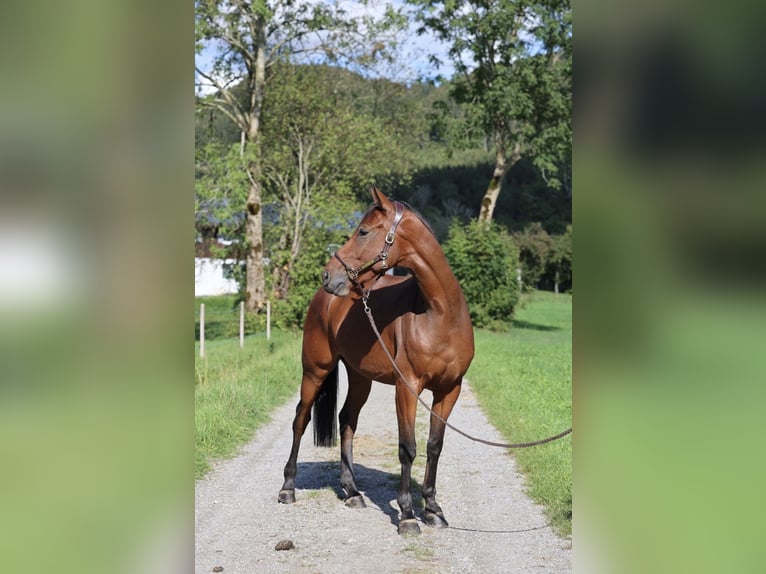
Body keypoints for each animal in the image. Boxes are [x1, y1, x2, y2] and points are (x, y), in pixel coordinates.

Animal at [278, 186, 474, 535]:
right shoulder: (406, 388)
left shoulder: (450, 389)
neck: (440, 316)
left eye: (364, 231)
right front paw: (408, 514)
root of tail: (324, 298)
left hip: (360, 378)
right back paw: (288, 488)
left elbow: (434, 446)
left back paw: (352, 491)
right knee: (300, 420)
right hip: (314, 371)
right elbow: (407, 448)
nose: (329, 274)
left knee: (346, 420)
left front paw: (433, 509)